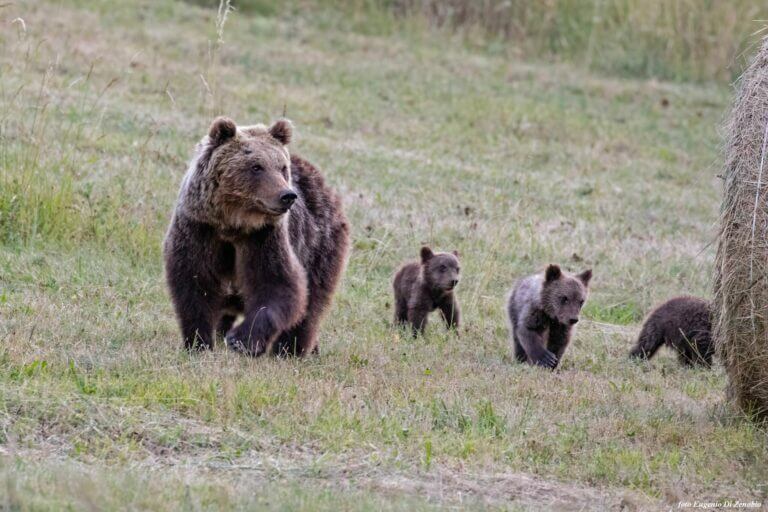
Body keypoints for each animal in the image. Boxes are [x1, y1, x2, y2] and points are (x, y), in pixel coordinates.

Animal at [166, 117, 352, 356]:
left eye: (282, 167)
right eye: (256, 166)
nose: (287, 195)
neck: (233, 224)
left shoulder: (264, 238)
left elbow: (278, 285)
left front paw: (241, 340)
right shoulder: (199, 230)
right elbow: (194, 284)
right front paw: (199, 342)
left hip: (319, 245)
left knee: (312, 302)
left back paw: (290, 349)